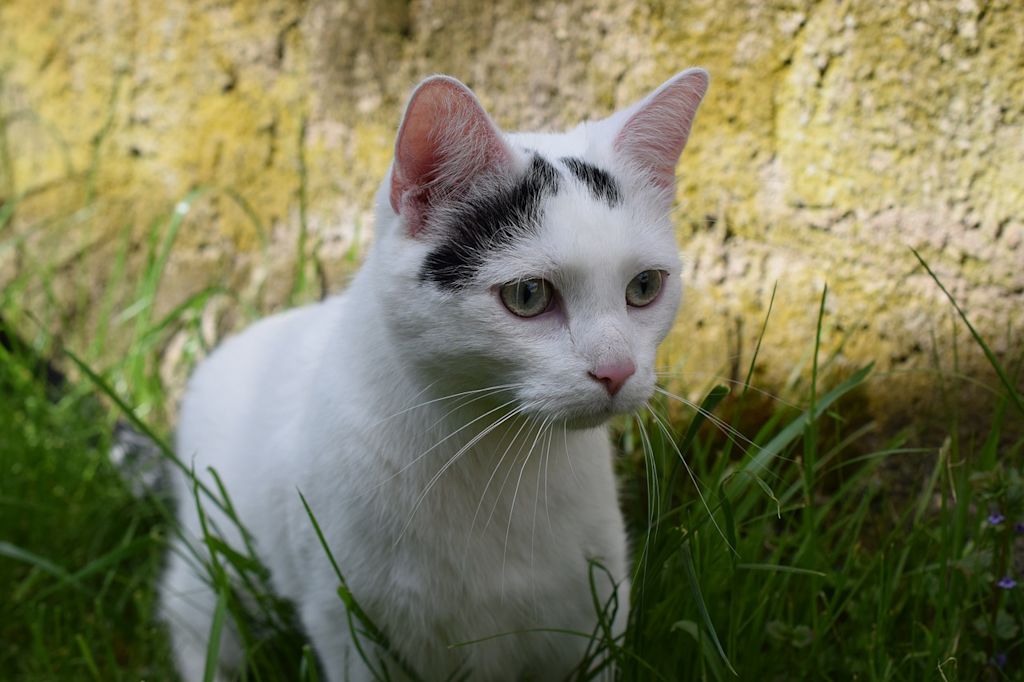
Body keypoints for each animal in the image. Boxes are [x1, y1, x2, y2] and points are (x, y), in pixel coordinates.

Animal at [159, 65, 708, 679]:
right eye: (528, 295)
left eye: (645, 286)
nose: (616, 370)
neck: (498, 459)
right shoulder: (344, 621)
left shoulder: (591, 617)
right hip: (209, 571)